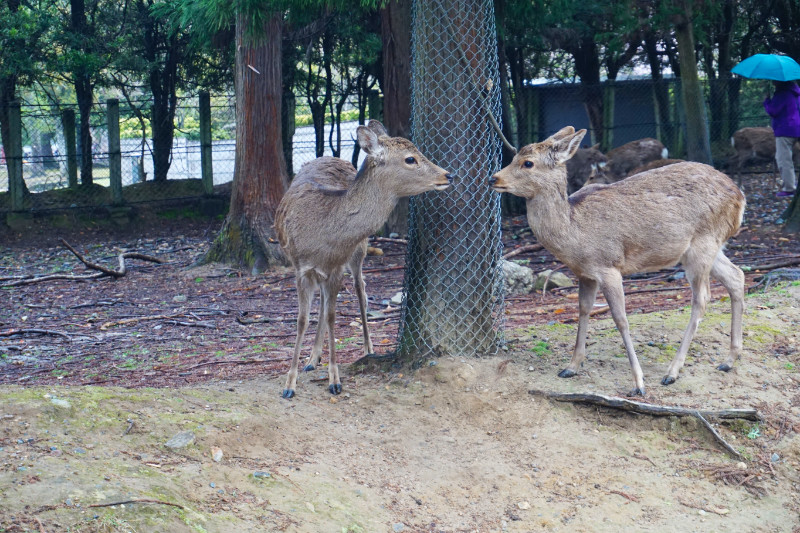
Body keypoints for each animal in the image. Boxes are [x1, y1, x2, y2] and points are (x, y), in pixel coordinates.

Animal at [275, 120, 453, 399]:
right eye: (410, 159)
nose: (447, 175)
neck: (321, 235)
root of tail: (331, 156)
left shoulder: (337, 265)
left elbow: (332, 316)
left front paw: (334, 381)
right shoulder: (300, 267)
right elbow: (302, 319)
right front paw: (289, 384)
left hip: (359, 249)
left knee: (360, 290)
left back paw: (367, 349)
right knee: (324, 302)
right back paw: (312, 359)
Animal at [489, 126, 745, 396]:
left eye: (528, 162)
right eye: (515, 155)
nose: (493, 179)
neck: (574, 234)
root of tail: (740, 196)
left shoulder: (609, 266)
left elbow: (620, 319)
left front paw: (639, 383)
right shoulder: (585, 273)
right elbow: (583, 310)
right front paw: (571, 367)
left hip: (702, 245)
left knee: (702, 298)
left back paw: (672, 371)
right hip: (710, 247)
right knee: (736, 276)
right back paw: (729, 360)